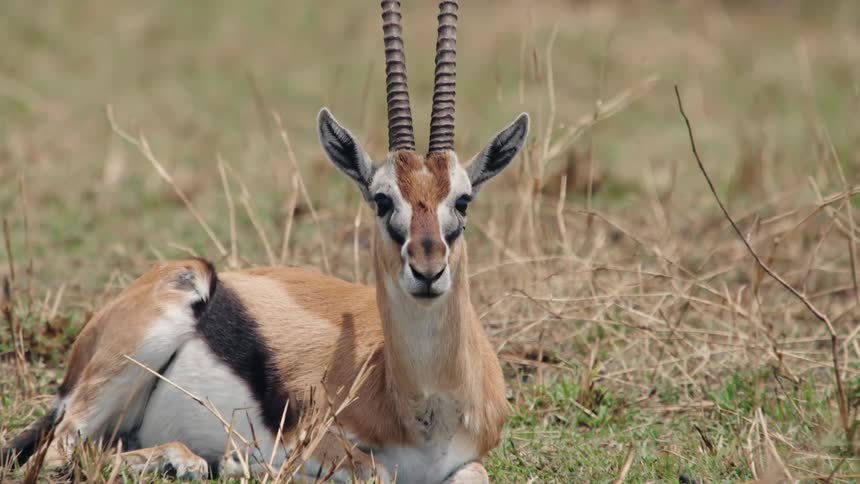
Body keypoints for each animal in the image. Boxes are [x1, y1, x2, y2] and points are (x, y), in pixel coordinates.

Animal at [1, 1, 529, 482]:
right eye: (381, 200)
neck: (423, 409)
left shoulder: (468, 462)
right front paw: (239, 462)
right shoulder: (310, 446)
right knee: (63, 454)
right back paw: (194, 461)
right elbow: (374, 471)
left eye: (462, 200)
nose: (427, 269)